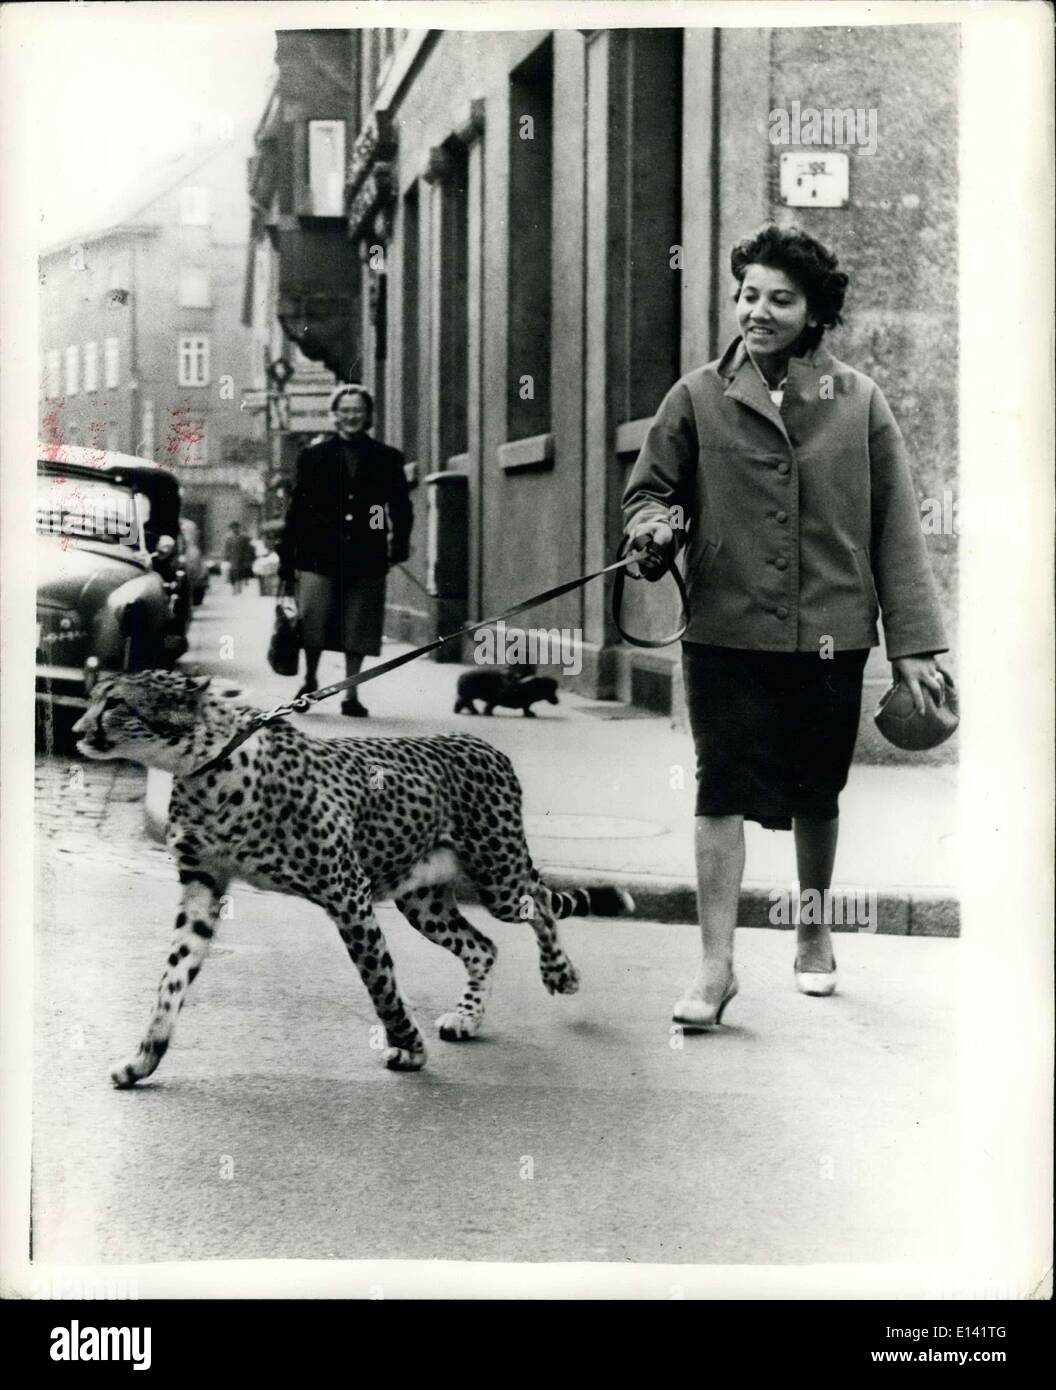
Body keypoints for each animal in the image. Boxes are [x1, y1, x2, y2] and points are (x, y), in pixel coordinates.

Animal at [74, 672, 636, 1084]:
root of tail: (478, 741)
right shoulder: (202, 889)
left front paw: (408, 1048)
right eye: (95, 698)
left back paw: (560, 973)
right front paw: (142, 1060)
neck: (207, 762)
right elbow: (171, 982)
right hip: (422, 901)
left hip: (499, 878)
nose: (78, 730)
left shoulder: (347, 893)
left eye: (115, 703)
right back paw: (468, 1016)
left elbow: (380, 983)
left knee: (540, 900)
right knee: (483, 946)